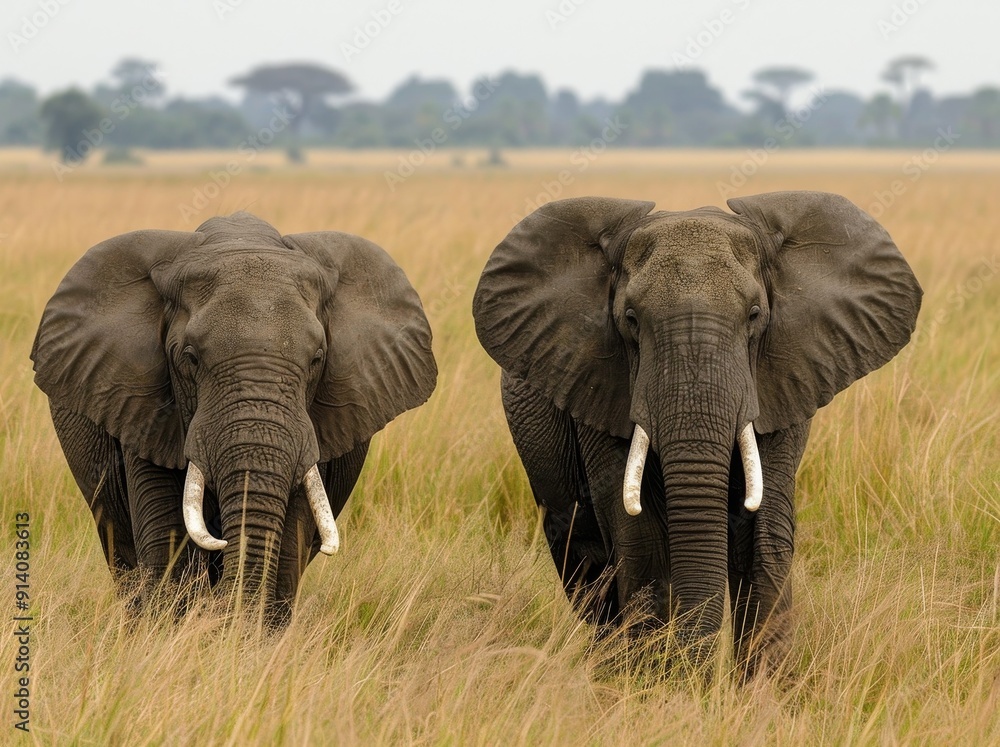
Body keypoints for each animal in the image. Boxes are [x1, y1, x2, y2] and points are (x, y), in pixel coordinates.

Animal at [31, 212, 436, 625]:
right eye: (190, 358)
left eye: (317, 359)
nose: (220, 609)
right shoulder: (142, 408)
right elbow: (168, 540)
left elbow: (290, 538)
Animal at [472, 191, 921, 675]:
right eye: (631, 319)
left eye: (755, 315)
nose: (697, 681)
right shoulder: (597, 383)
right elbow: (642, 535)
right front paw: (653, 685)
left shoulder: (785, 378)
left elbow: (765, 533)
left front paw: (762, 692)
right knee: (584, 558)